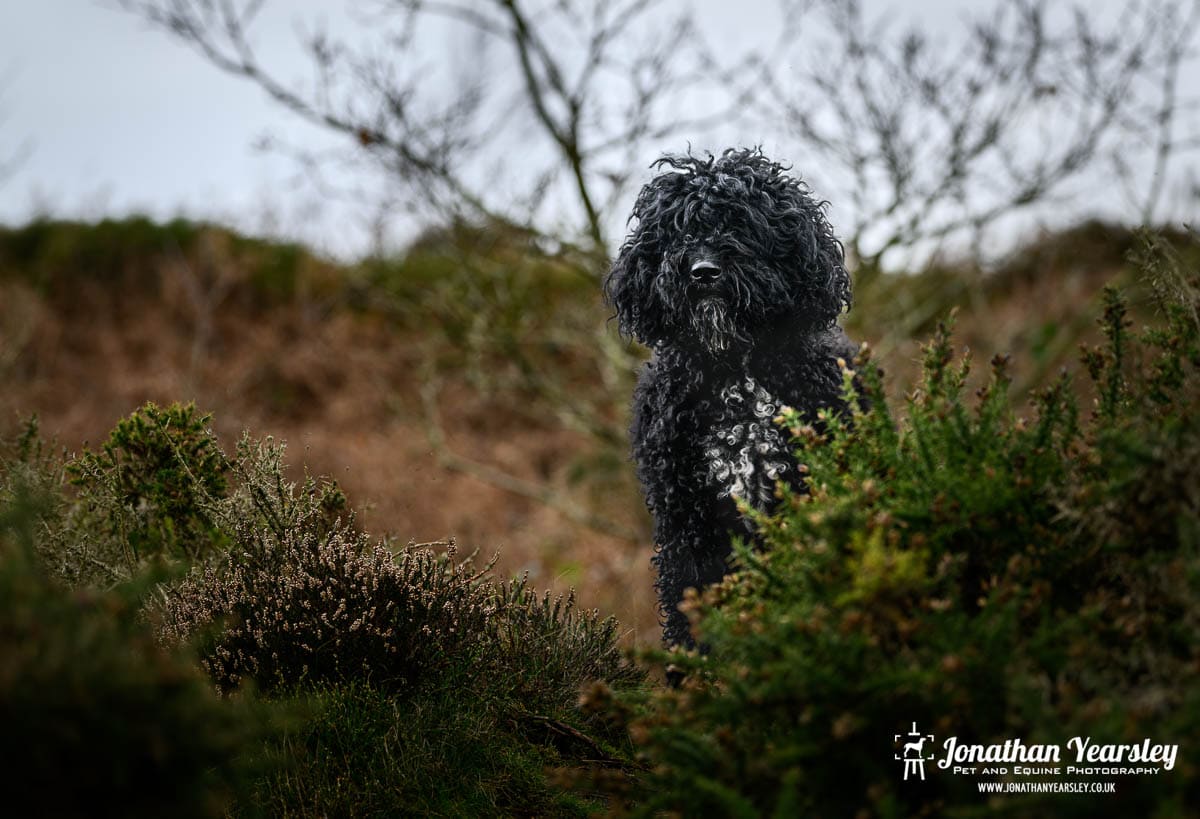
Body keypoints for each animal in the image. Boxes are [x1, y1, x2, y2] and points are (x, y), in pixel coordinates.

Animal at [604, 145, 859, 643]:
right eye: (678, 230)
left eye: (742, 223)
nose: (703, 271)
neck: (733, 368)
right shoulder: (687, 522)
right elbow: (691, 606)